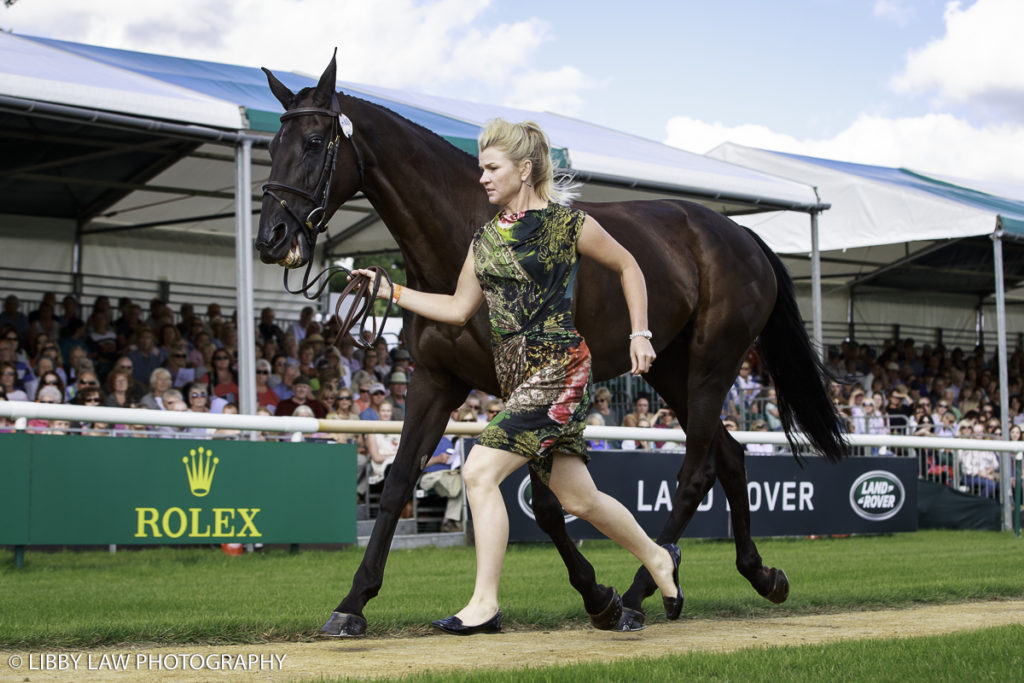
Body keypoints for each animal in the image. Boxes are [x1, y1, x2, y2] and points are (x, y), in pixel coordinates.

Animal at [253, 56, 839, 638]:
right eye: (271, 145)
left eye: (313, 142)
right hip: (668, 369)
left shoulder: (524, 392)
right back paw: (757, 575)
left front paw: (598, 595)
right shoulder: (436, 380)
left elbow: (546, 503)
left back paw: (641, 591)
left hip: (713, 363)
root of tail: (742, 236)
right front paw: (353, 602)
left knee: (696, 471)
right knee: (731, 456)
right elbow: (398, 484)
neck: (459, 231)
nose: (271, 238)